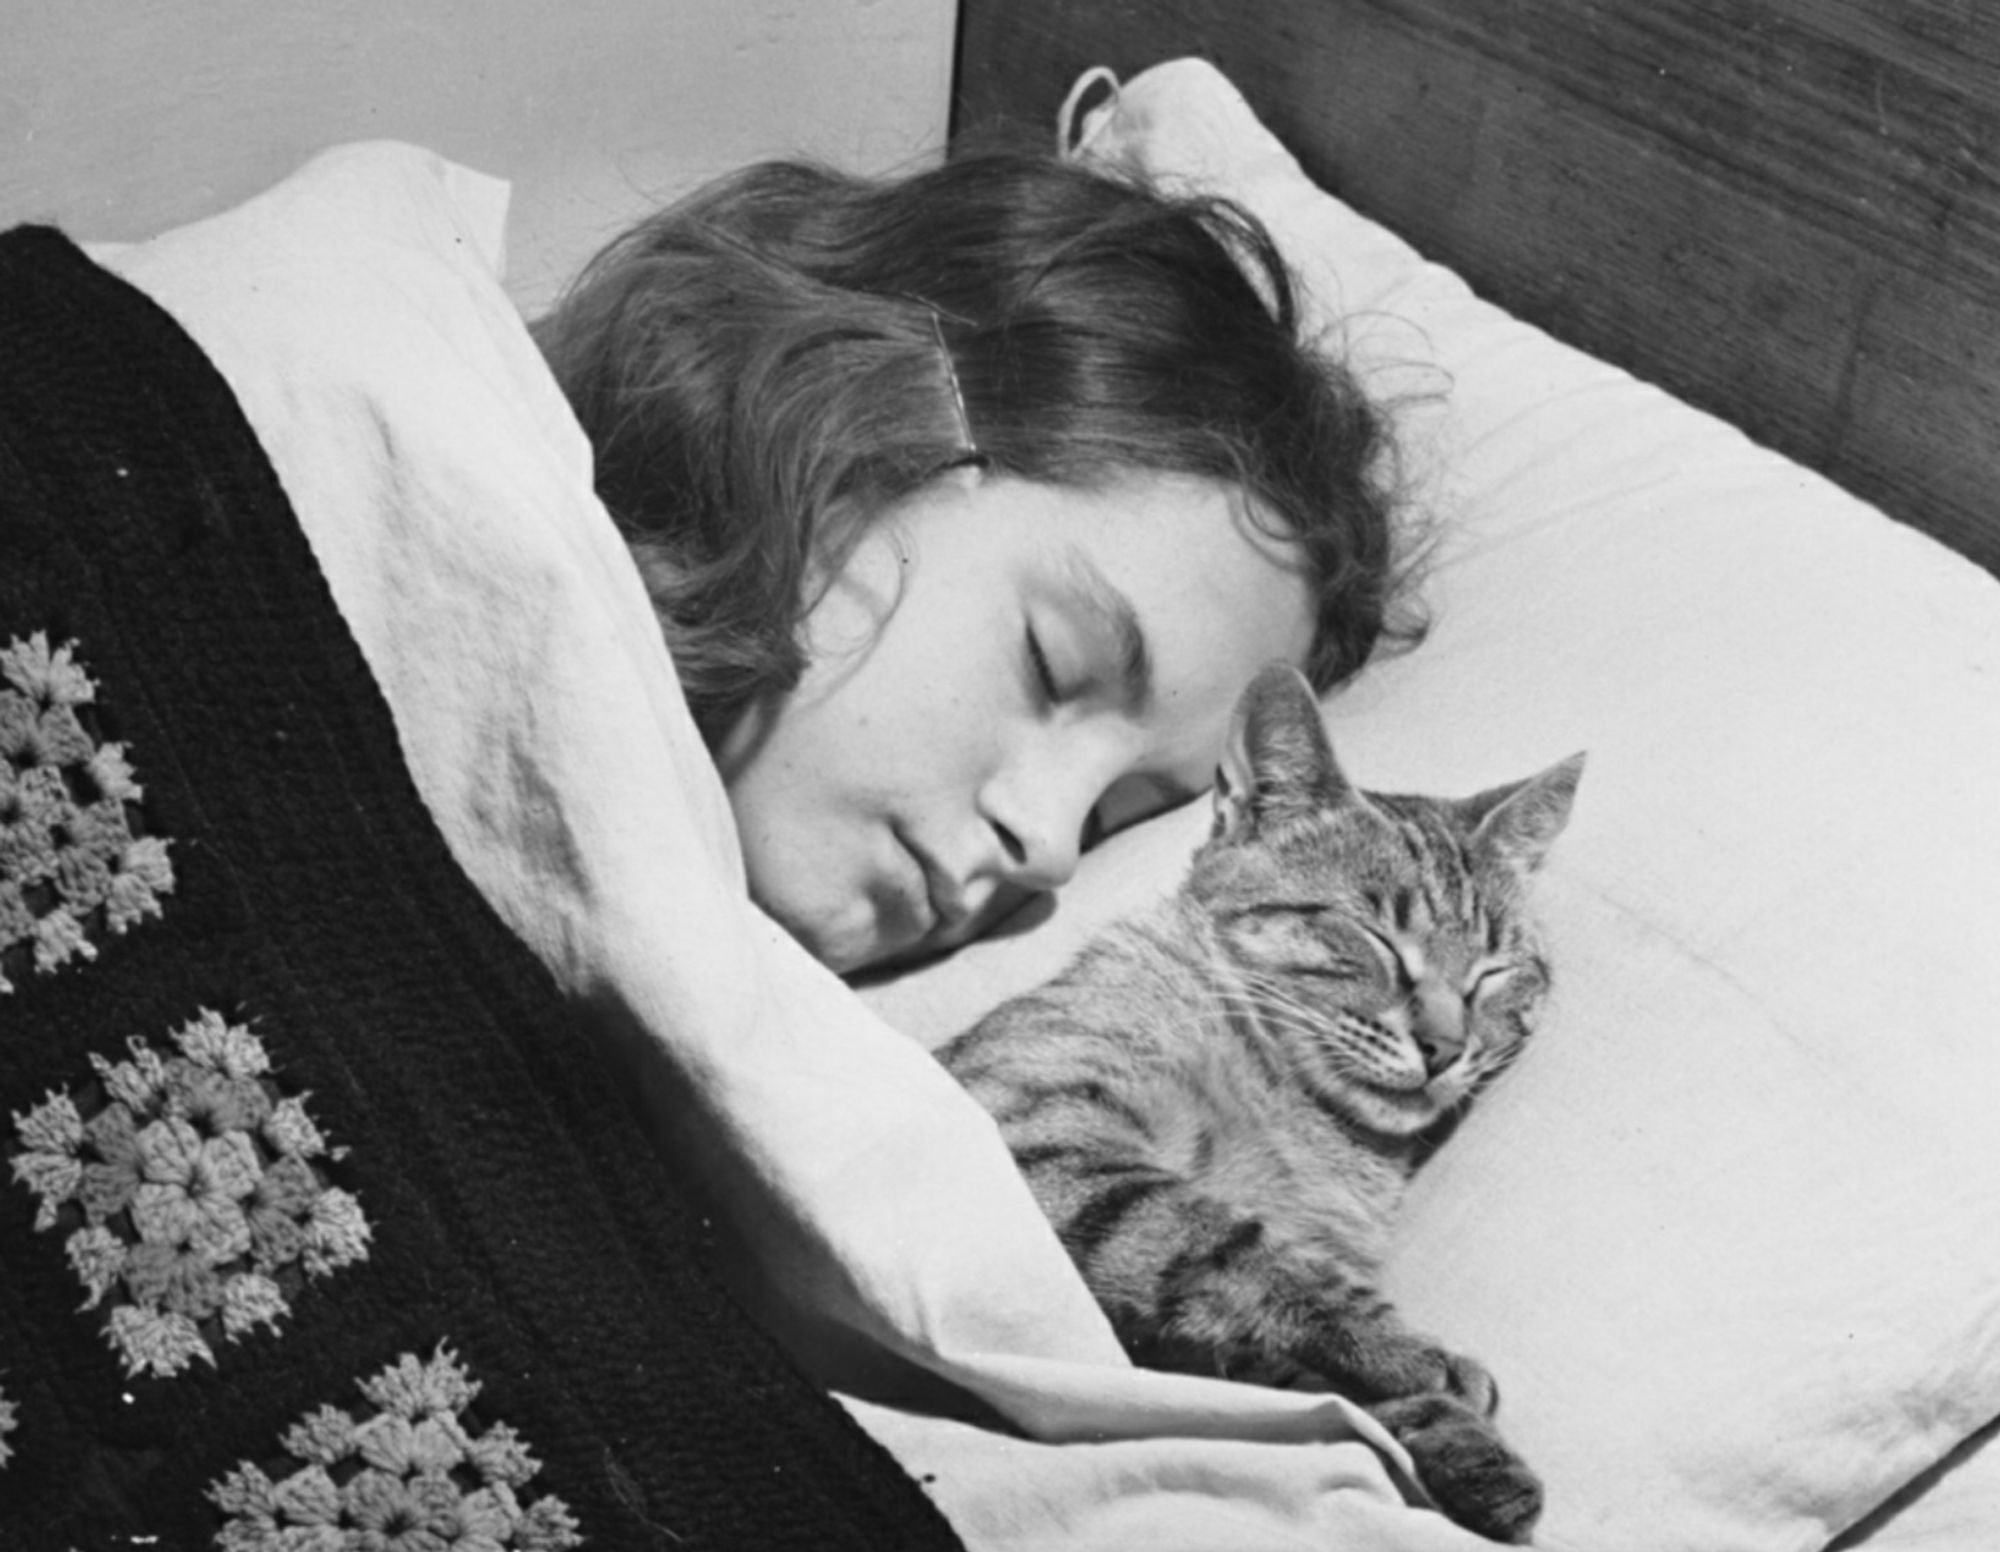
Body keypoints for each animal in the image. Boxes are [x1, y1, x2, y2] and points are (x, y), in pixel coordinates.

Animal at [932, 660, 1576, 1544]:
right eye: (1376, 938)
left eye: (1495, 971)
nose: (1446, 1046)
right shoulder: (1036, 1128)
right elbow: (1231, 1245)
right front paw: (1417, 1358)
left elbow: (1291, 1369)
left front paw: (1468, 1449)